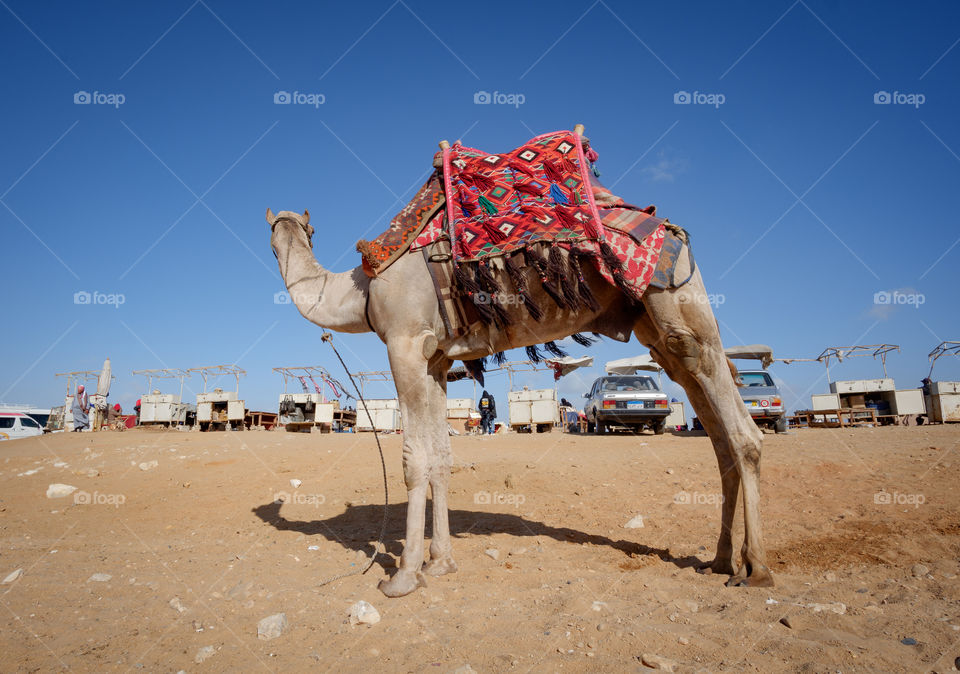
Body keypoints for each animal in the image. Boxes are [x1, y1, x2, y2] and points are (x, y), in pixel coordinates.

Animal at [266, 135, 772, 598]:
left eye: (283, 236)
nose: (276, 240)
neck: (362, 290)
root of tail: (674, 231)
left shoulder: (405, 344)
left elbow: (415, 460)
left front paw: (405, 575)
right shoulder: (436, 358)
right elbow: (442, 459)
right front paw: (440, 563)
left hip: (678, 304)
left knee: (743, 433)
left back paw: (756, 568)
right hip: (658, 329)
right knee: (714, 430)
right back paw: (720, 560)